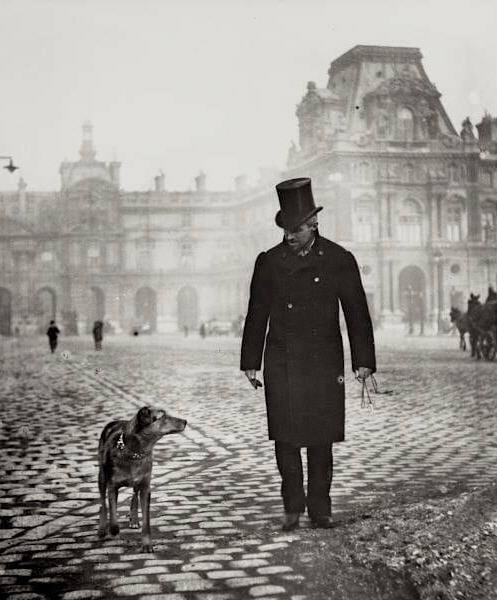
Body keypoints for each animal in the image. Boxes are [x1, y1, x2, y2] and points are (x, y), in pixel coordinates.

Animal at [97, 406, 186, 552]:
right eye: (162, 416)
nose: (185, 421)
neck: (136, 452)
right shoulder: (112, 486)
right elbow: (113, 514)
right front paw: (113, 530)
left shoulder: (145, 486)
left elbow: (146, 521)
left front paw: (147, 544)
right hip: (102, 476)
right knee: (103, 504)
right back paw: (102, 529)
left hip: (138, 481)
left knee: (134, 494)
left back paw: (133, 519)